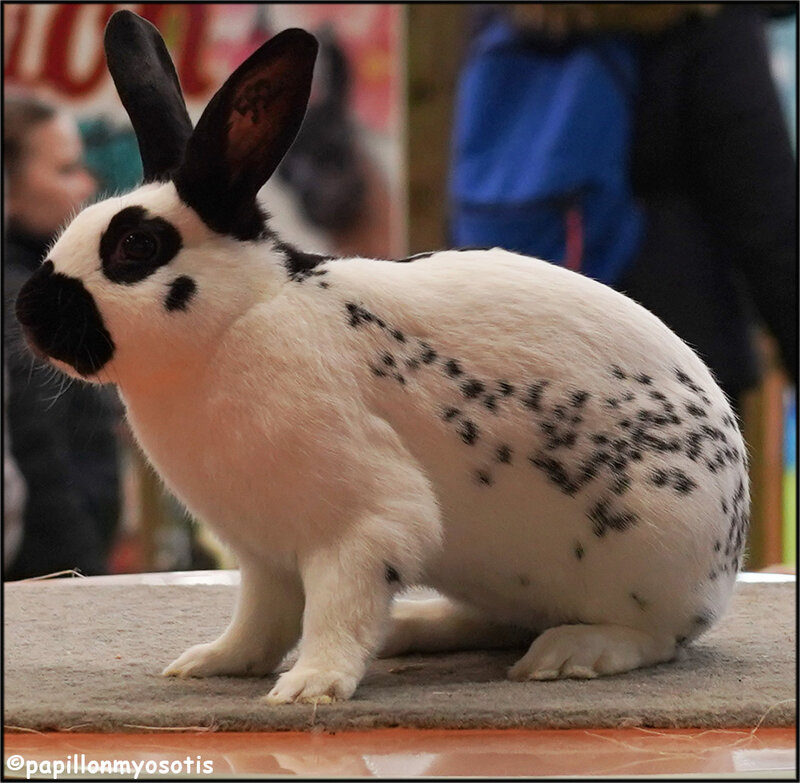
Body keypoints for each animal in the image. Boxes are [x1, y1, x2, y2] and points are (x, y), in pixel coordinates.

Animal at [14, 7, 752, 704]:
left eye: (136, 247)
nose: (28, 313)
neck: (238, 320)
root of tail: (728, 547)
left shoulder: (361, 523)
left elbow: (336, 609)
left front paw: (309, 687)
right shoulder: (262, 552)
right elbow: (260, 622)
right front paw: (209, 663)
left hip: (651, 550)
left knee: (652, 635)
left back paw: (568, 654)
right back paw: (415, 629)